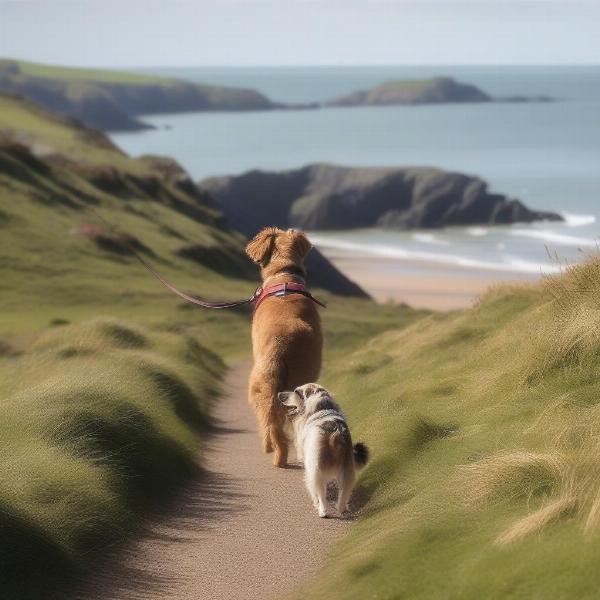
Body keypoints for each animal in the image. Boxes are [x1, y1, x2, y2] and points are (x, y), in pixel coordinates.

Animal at [278, 384, 368, 516]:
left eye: (296, 391)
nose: (279, 394)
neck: (321, 409)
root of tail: (335, 434)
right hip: (347, 469)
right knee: (344, 492)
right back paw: (341, 508)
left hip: (315, 469)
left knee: (320, 492)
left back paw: (322, 511)